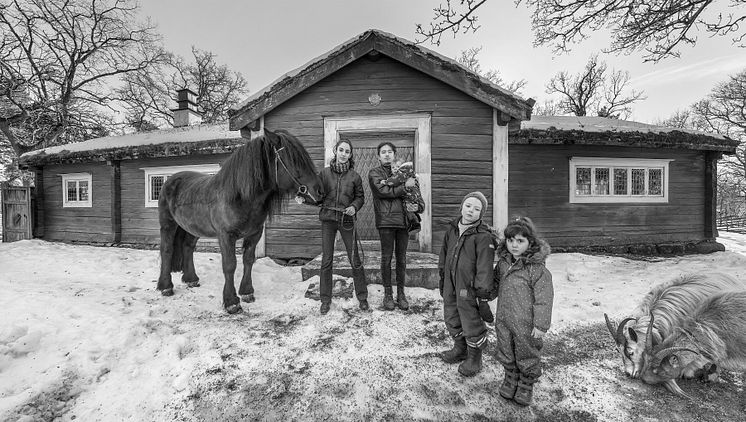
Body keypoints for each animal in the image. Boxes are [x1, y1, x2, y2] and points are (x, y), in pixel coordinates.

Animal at [155, 129, 322, 314]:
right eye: (293, 160)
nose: (320, 191)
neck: (240, 196)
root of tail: (171, 180)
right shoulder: (226, 236)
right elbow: (230, 265)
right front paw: (231, 301)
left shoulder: (255, 234)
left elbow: (248, 260)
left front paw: (247, 292)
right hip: (168, 224)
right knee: (167, 250)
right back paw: (166, 287)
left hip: (193, 227)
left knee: (188, 247)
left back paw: (191, 279)